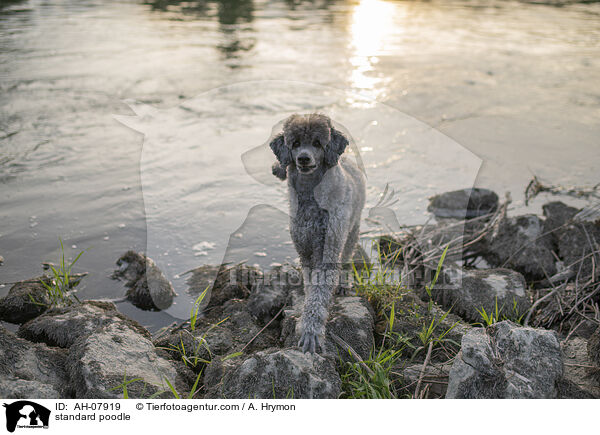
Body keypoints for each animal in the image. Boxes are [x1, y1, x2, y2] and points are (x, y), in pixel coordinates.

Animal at [270, 113, 366, 354]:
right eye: (295, 143)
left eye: (317, 143)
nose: (303, 159)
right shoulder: (304, 250)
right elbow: (310, 285)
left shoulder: (327, 251)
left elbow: (319, 293)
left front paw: (311, 331)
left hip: (351, 230)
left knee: (347, 256)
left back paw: (343, 284)